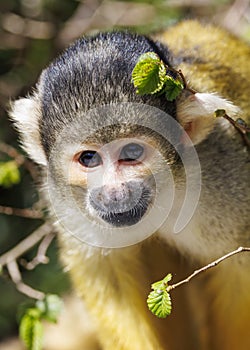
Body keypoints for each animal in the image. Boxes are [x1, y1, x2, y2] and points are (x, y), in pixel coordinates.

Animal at [10, 21, 250, 350]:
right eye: (88, 158)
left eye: (132, 152)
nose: (114, 194)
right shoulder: (65, 199)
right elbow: (108, 278)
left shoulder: (227, 172)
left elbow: (239, 271)